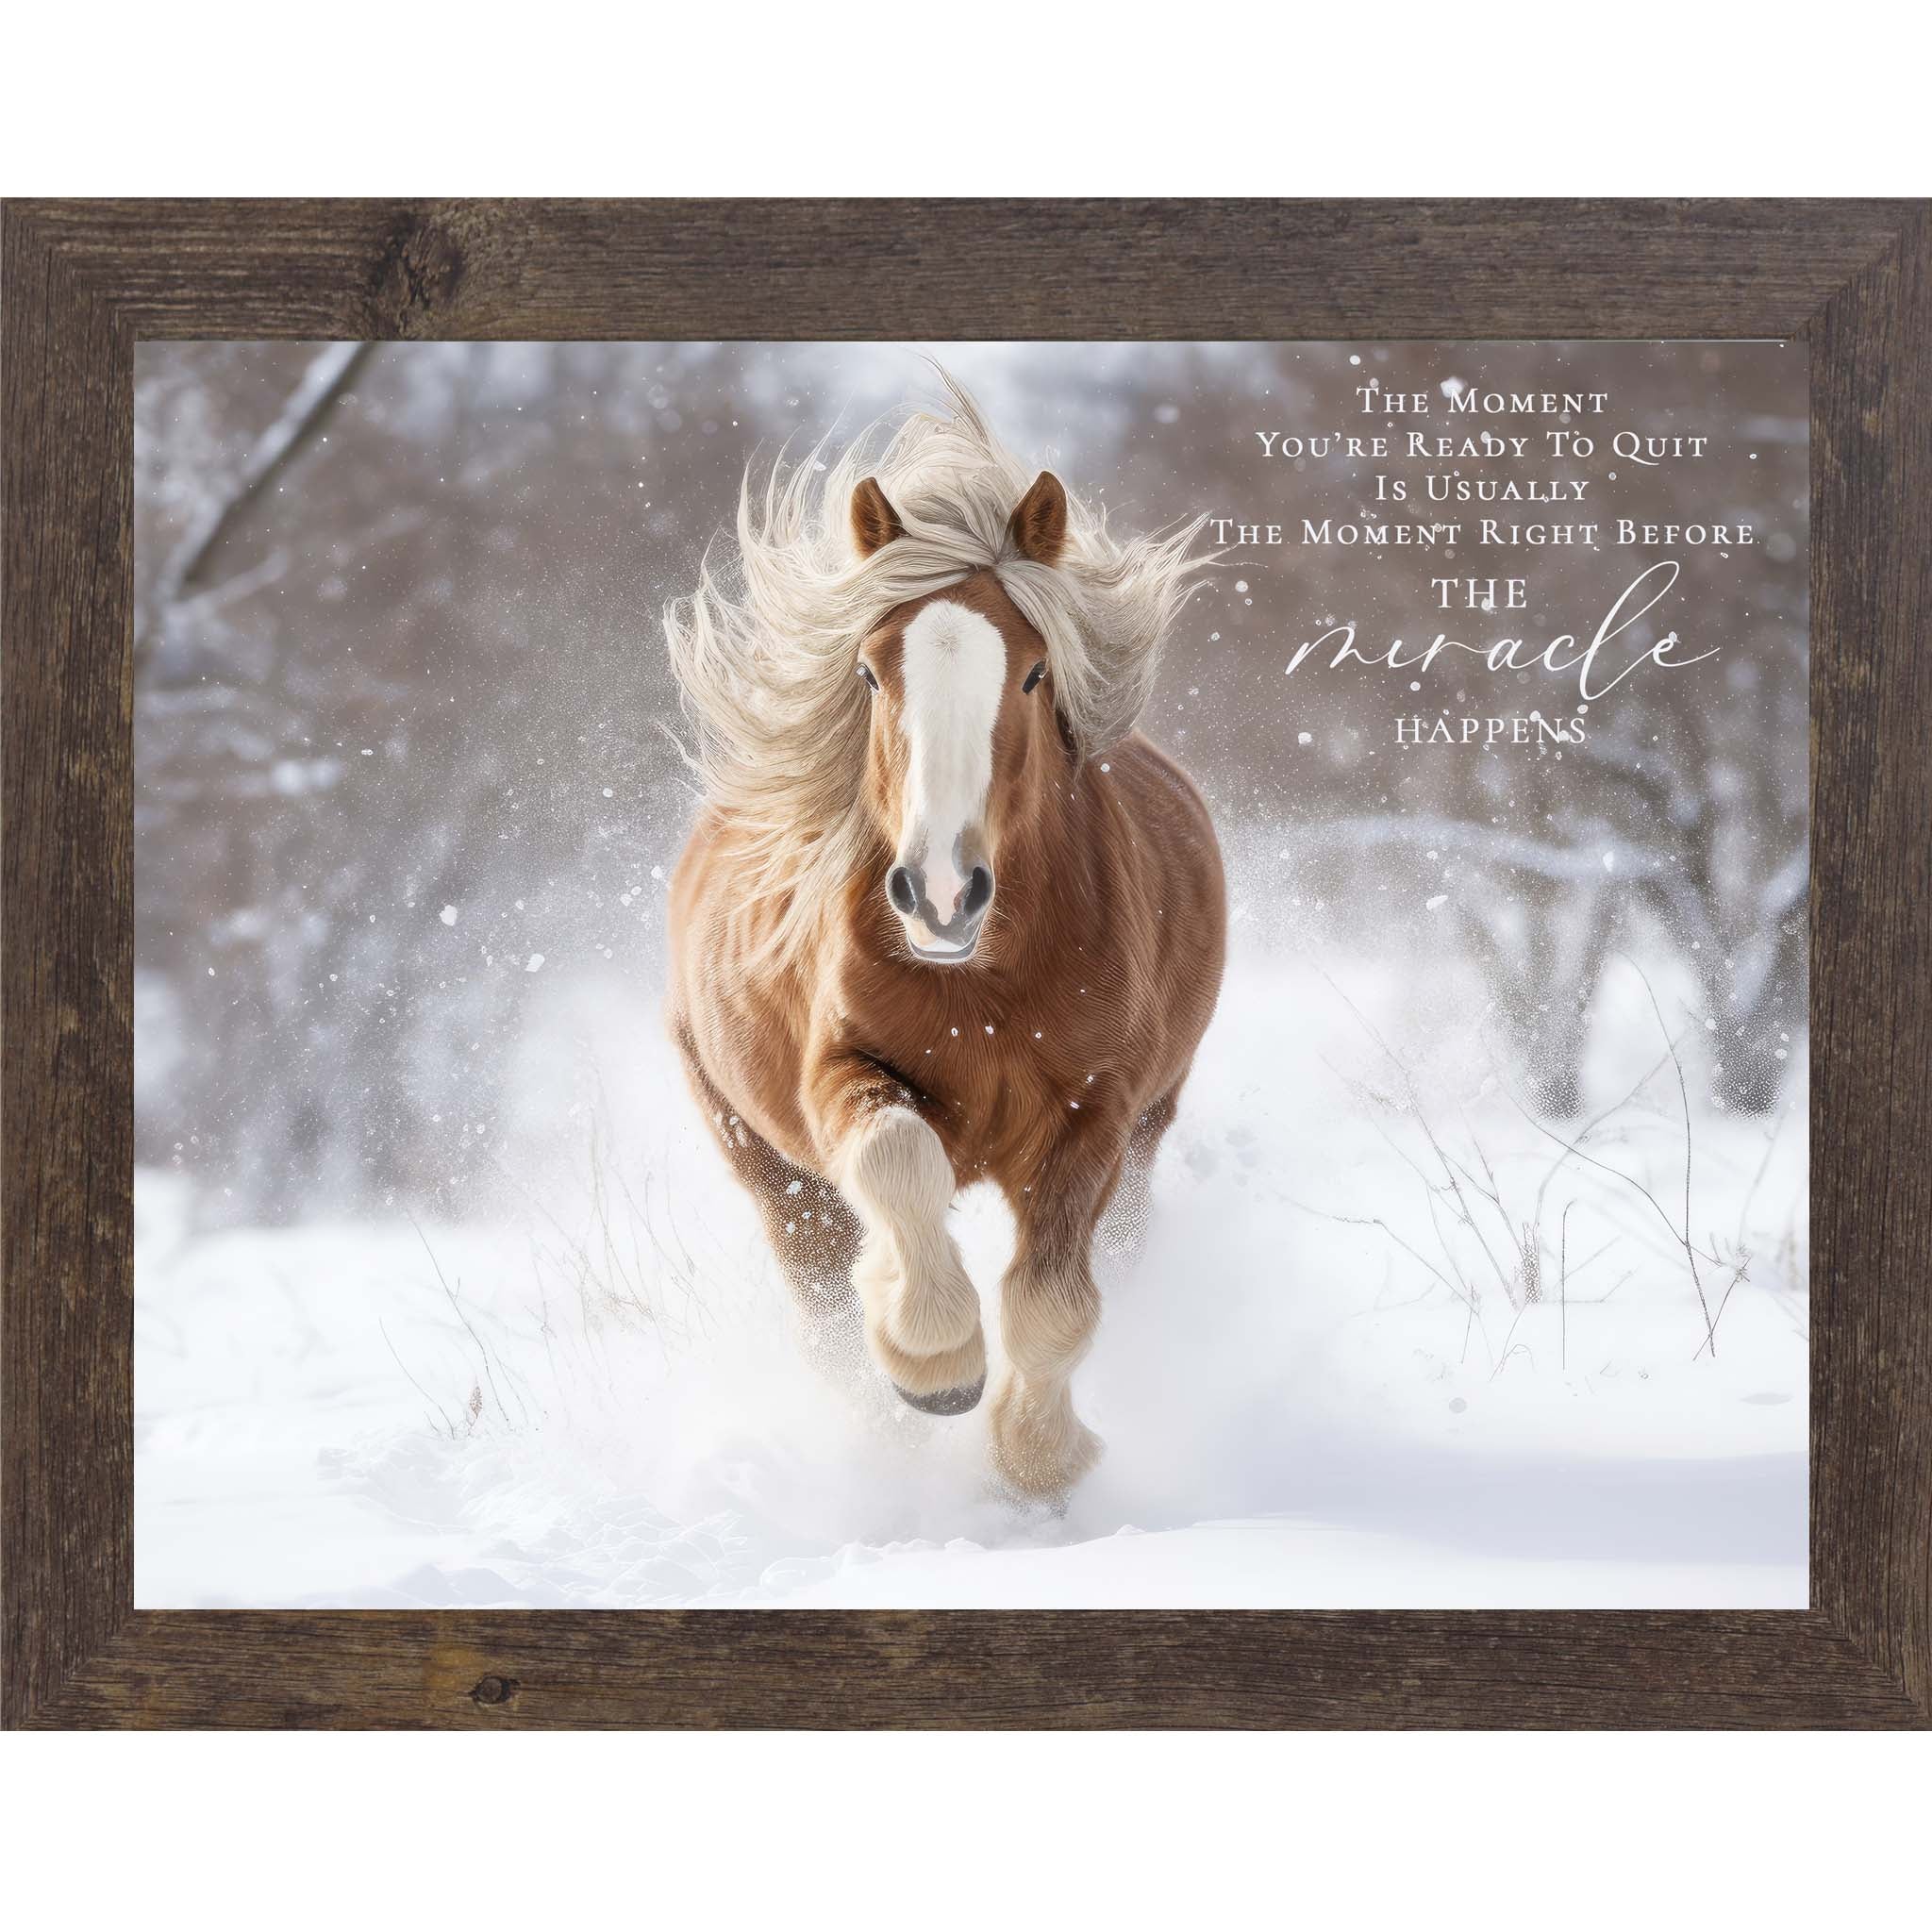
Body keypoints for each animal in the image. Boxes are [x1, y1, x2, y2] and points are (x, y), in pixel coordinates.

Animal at [663, 378, 1225, 1499]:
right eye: (872, 673)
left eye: (1035, 672)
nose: (938, 895)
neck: (986, 984)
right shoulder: (838, 1073)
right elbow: (897, 1159)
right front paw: (935, 1361)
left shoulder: (1097, 1114)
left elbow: (1053, 1306)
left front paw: (1043, 1455)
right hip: (767, 1165)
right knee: (826, 1314)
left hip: (1149, 1136)